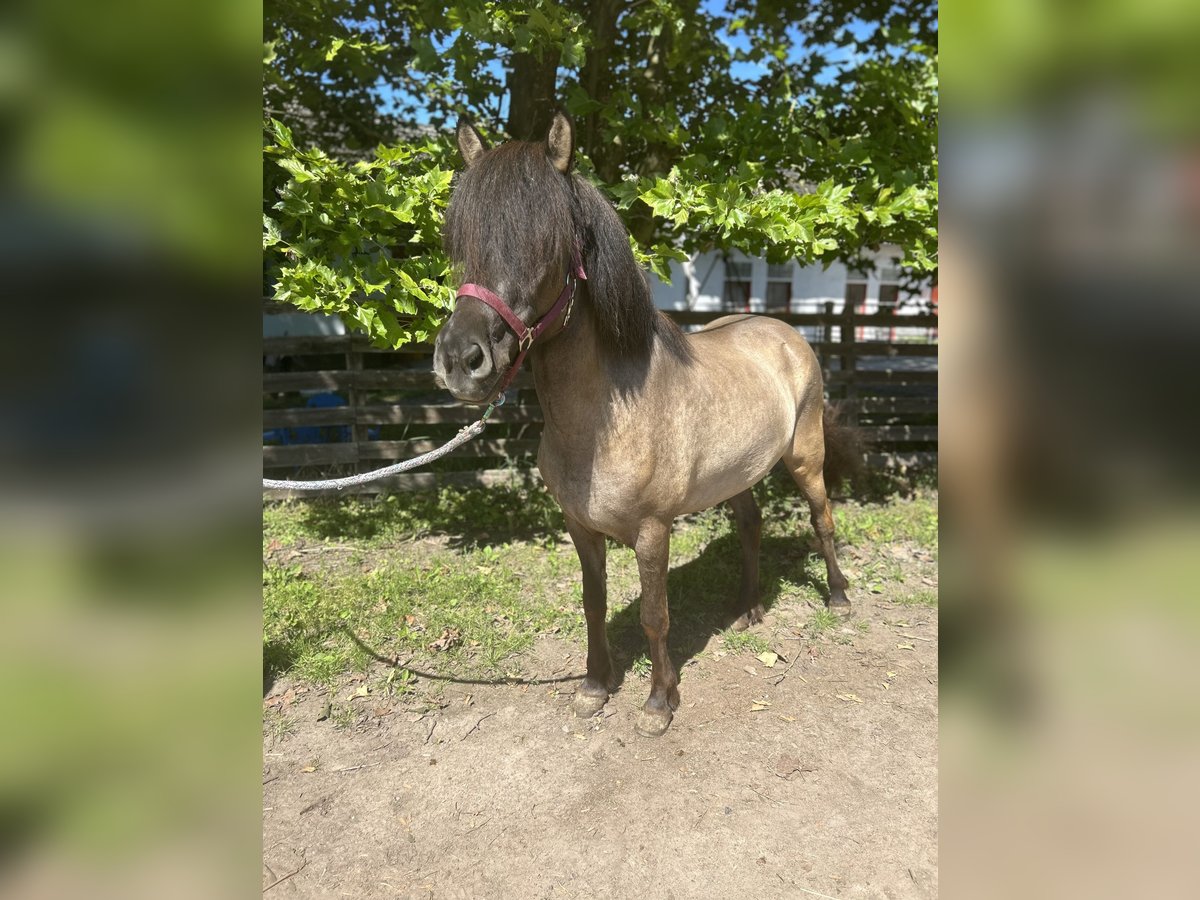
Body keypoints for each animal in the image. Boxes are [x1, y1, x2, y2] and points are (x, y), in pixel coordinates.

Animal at [434, 111, 854, 739]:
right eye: (465, 244)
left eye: (547, 244)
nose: (461, 360)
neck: (605, 420)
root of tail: (785, 332)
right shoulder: (581, 529)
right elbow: (594, 603)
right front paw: (594, 686)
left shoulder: (654, 531)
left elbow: (656, 615)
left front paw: (659, 702)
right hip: (739, 474)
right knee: (751, 526)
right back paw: (748, 609)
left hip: (805, 458)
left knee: (822, 520)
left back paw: (838, 597)